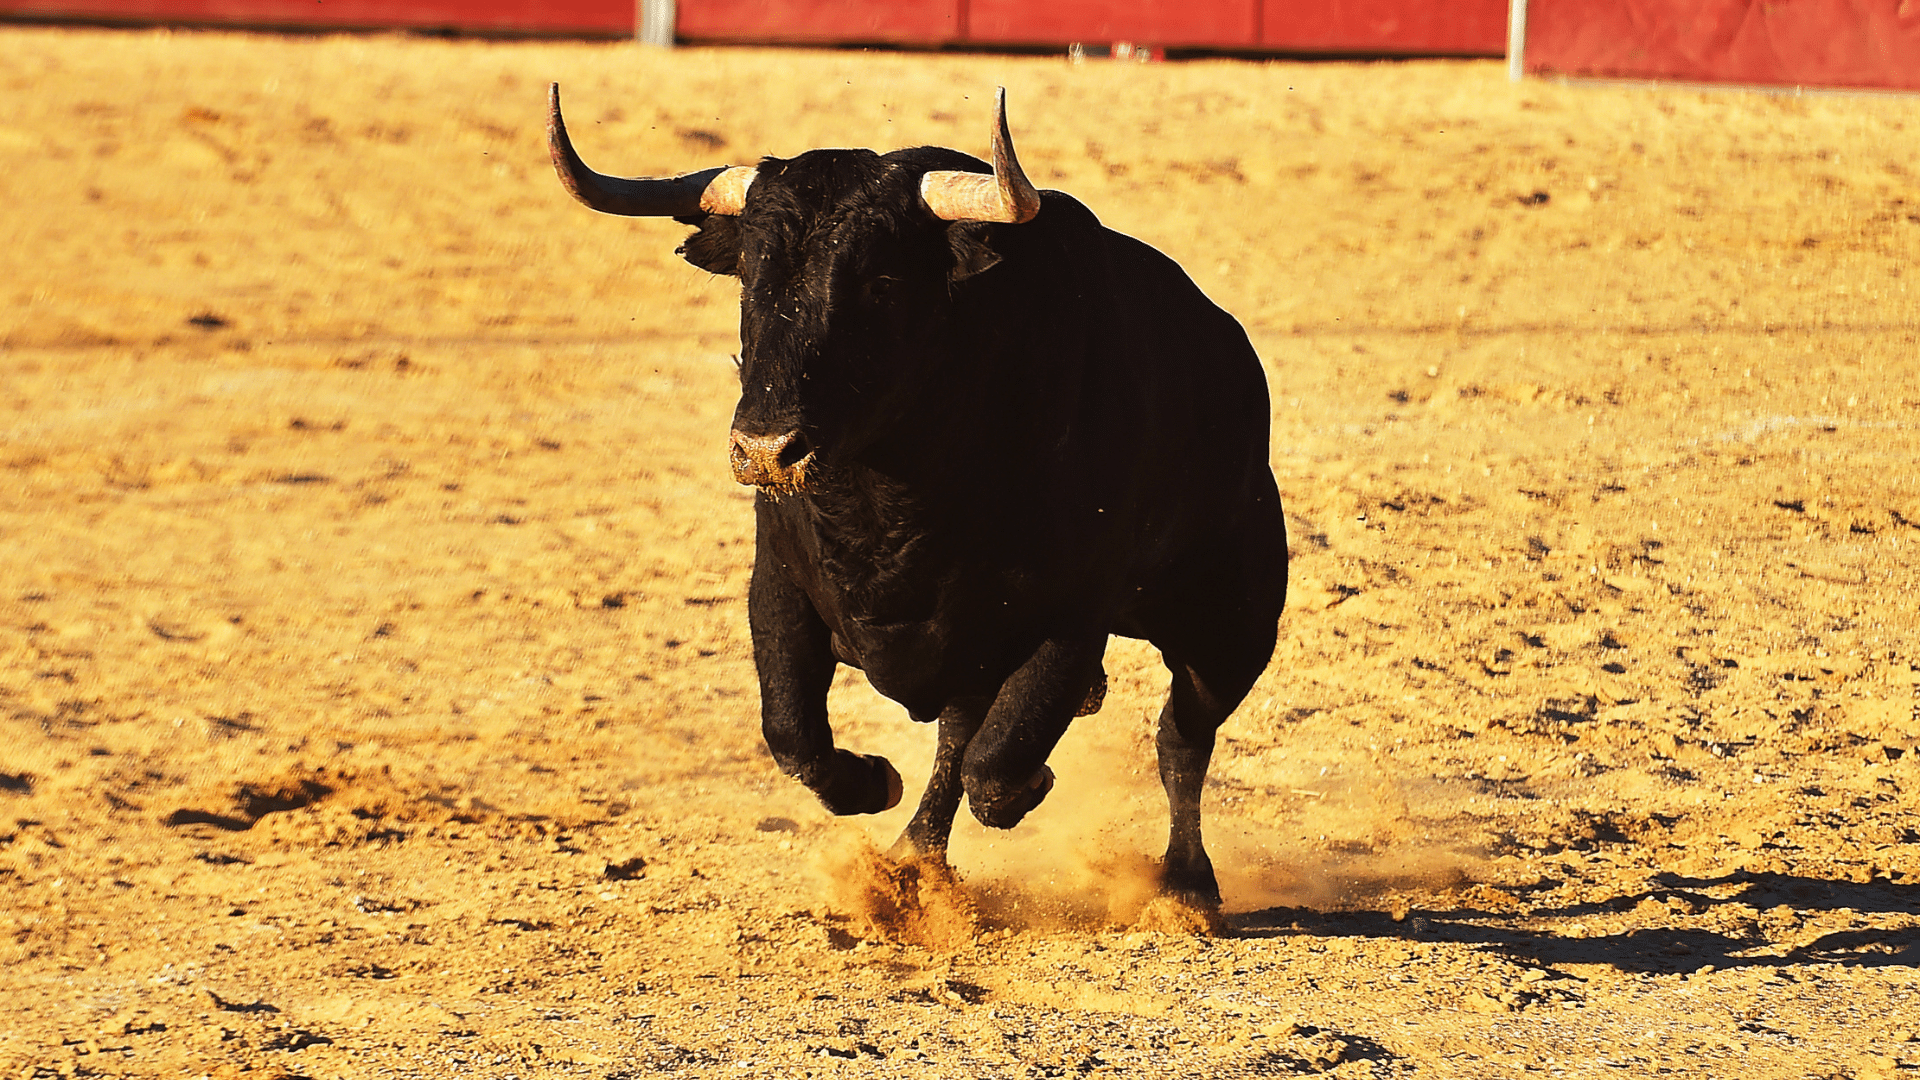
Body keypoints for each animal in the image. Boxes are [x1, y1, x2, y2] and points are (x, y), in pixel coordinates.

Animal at [548, 84, 1286, 908]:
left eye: (882, 283)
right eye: (750, 277)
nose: (766, 450)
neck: (891, 503)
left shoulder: (1068, 619)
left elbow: (999, 763)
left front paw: (1032, 786)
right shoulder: (779, 585)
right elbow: (796, 735)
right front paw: (875, 782)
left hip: (1232, 622)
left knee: (1181, 739)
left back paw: (1187, 882)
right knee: (963, 740)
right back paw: (912, 861)